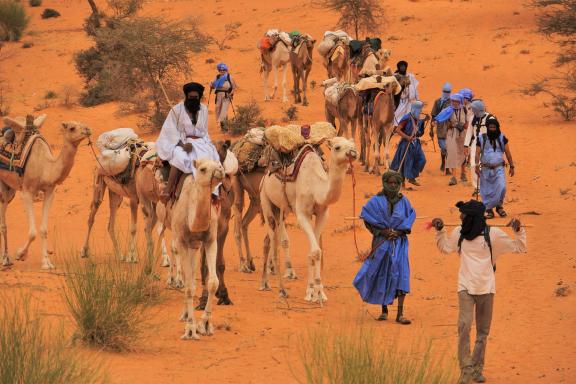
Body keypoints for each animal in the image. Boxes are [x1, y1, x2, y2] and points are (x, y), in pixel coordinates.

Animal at [0, 115, 90, 268]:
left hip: (9, 189)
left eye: (83, 123)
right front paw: (20, 254)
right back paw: (5, 259)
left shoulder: (49, 192)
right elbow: (32, 233)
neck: (45, 167)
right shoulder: (27, 192)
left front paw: (47, 262)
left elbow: (43, 230)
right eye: (72, 128)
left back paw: (6, 258)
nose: (88, 130)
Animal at [260, 138, 356, 304]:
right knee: (273, 239)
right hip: (265, 202)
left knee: (273, 238)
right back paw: (280, 289)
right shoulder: (302, 214)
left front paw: (315, 292)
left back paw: (266, 282)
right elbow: (316, 251)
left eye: (353, 145)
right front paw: (315, 292)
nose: (353, 153)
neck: (315, 186)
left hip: (282, 209)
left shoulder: (322, 214)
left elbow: (314, 251)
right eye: (337, 147)